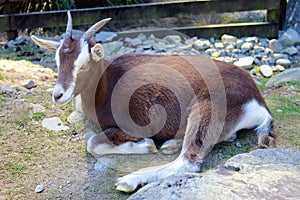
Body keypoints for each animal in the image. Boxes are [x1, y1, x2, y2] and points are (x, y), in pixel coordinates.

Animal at [31, 11, 276, 193]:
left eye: (83, 65)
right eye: (57, 62)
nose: (58, 95)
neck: (106, 82)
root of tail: (258, 99)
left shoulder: (136, 124)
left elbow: (92, 143)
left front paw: (145, 145)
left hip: (206, 105)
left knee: (189, 161)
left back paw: (129, 180)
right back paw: (172, 144)